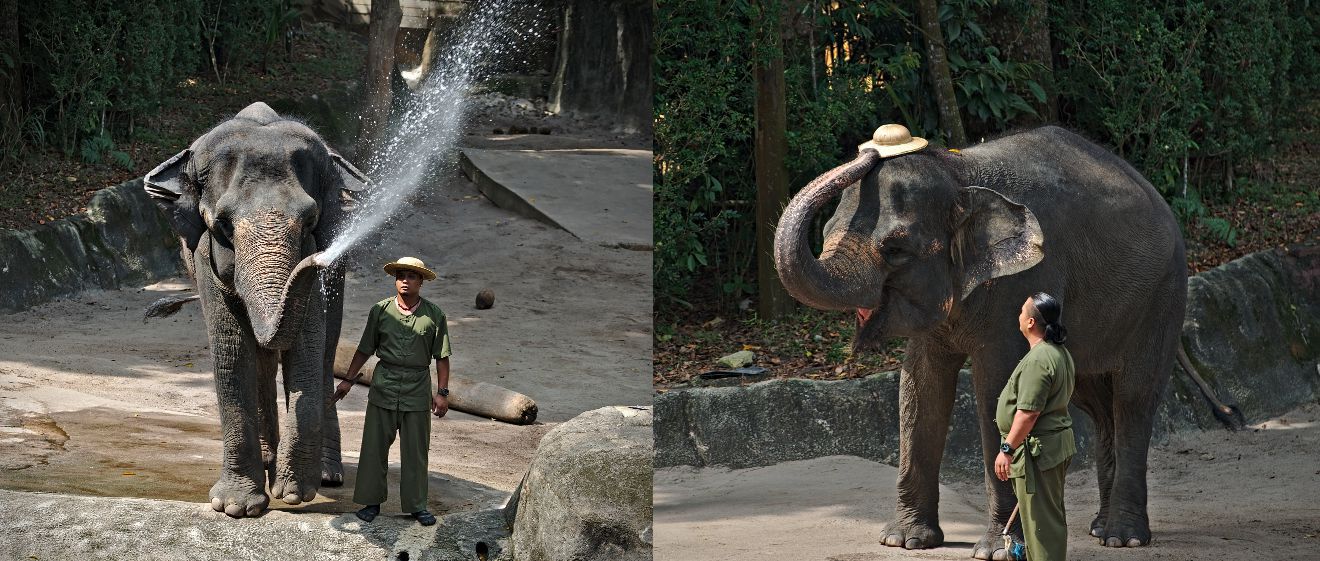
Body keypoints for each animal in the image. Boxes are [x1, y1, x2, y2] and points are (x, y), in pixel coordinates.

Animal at [143, 101, 366, 514]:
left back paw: (326, 474)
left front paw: (293, 493)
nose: (316, 258)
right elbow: (232, 348)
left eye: (310, 221)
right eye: (223, 225)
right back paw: (267, 459)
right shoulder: (203, 255)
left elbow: (309, 345)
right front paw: (236, 507)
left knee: (326, 348)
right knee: (260, 358)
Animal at [770, 123, 1193, 554]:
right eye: (825, 232)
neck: (959, 173)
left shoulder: (1021, 283)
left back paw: (1123, 537)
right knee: (1097, 405)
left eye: (896, 249)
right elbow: (918, 388)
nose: (874, 147)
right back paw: (1097, 528)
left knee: (1133, 399)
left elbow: (997, 388)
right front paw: (903, 541)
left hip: (1163, 298)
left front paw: (997, 550)